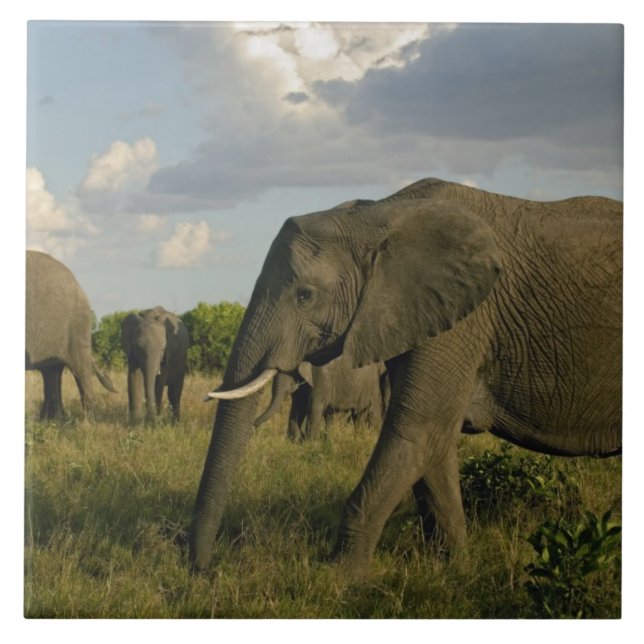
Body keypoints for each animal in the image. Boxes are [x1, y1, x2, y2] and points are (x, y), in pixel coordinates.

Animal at [254, 356, 388, 440]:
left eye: (291, 373)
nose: (254, 426)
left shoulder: (320, 378)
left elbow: (314, 407)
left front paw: (310, 443)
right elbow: (298, 408)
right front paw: (295, 440)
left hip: (370, 384)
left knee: (365, 411)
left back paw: (368, 436)